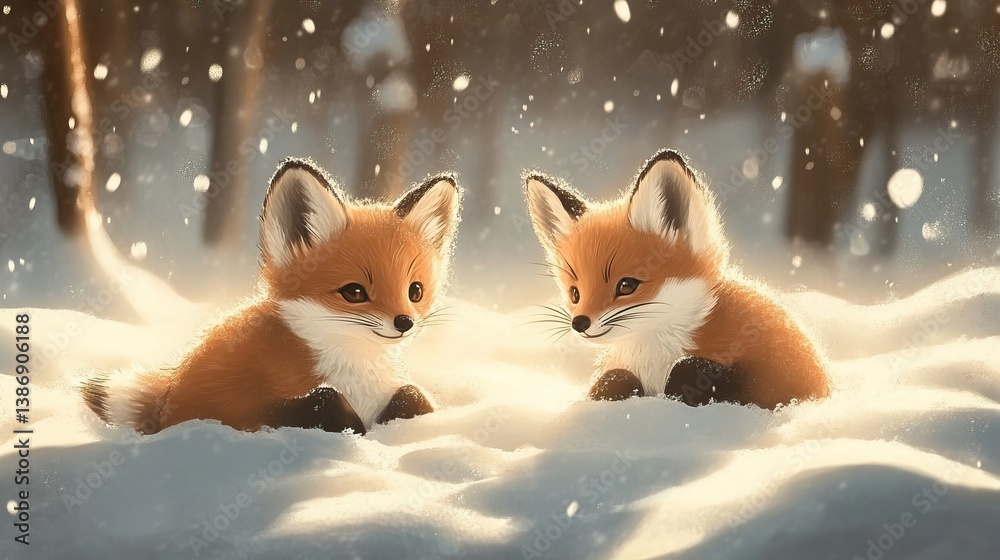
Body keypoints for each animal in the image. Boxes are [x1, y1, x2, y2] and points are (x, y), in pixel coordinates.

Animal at [82, 158, 461, 435]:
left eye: (415, 291)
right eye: (354, 292)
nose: (404, 323)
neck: (356, 374)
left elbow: (413, 397)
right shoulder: (241, 404)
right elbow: (321, 402)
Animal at [524, 149, 829, 409]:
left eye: (627, 285)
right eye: (574, 293)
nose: (579, 323)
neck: (654, 357)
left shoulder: (776, 367)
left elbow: (695, 372)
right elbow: (613, 380)